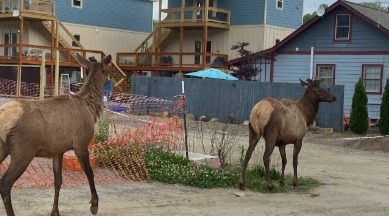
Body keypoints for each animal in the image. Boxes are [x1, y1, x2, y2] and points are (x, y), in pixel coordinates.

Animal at [0, 53, 110, 215]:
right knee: (5, 184)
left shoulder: (58, 150)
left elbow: (58, 181)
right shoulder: (81, 144)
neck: (91, 109)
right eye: (106, 69)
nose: (109, 79)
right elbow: (90, 173)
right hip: (23, 149)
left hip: (4, 148)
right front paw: (94, 204)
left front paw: (55, 211)